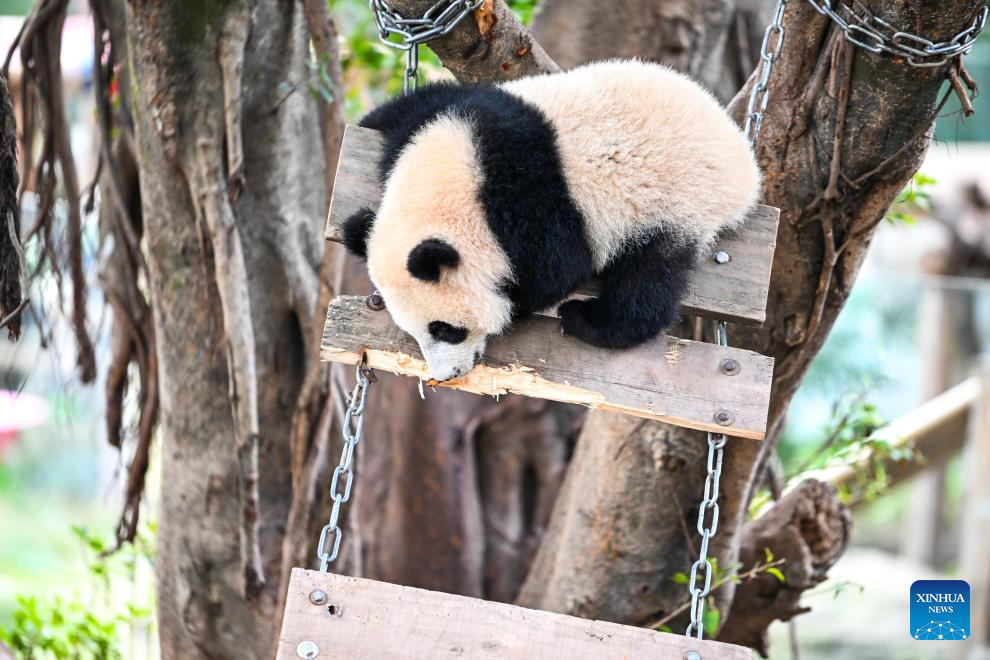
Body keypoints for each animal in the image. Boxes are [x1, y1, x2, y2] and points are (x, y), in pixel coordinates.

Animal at [342, 59, 761, 382]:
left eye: (446, 330)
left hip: (675, 202)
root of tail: (745, 167)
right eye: (414, 332)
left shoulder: (532, 197)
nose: (448, 375)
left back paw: (588, 319)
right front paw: (356, 224)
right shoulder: (453, 113)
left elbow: (556, 269)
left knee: (649, 277)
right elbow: (411, 107)